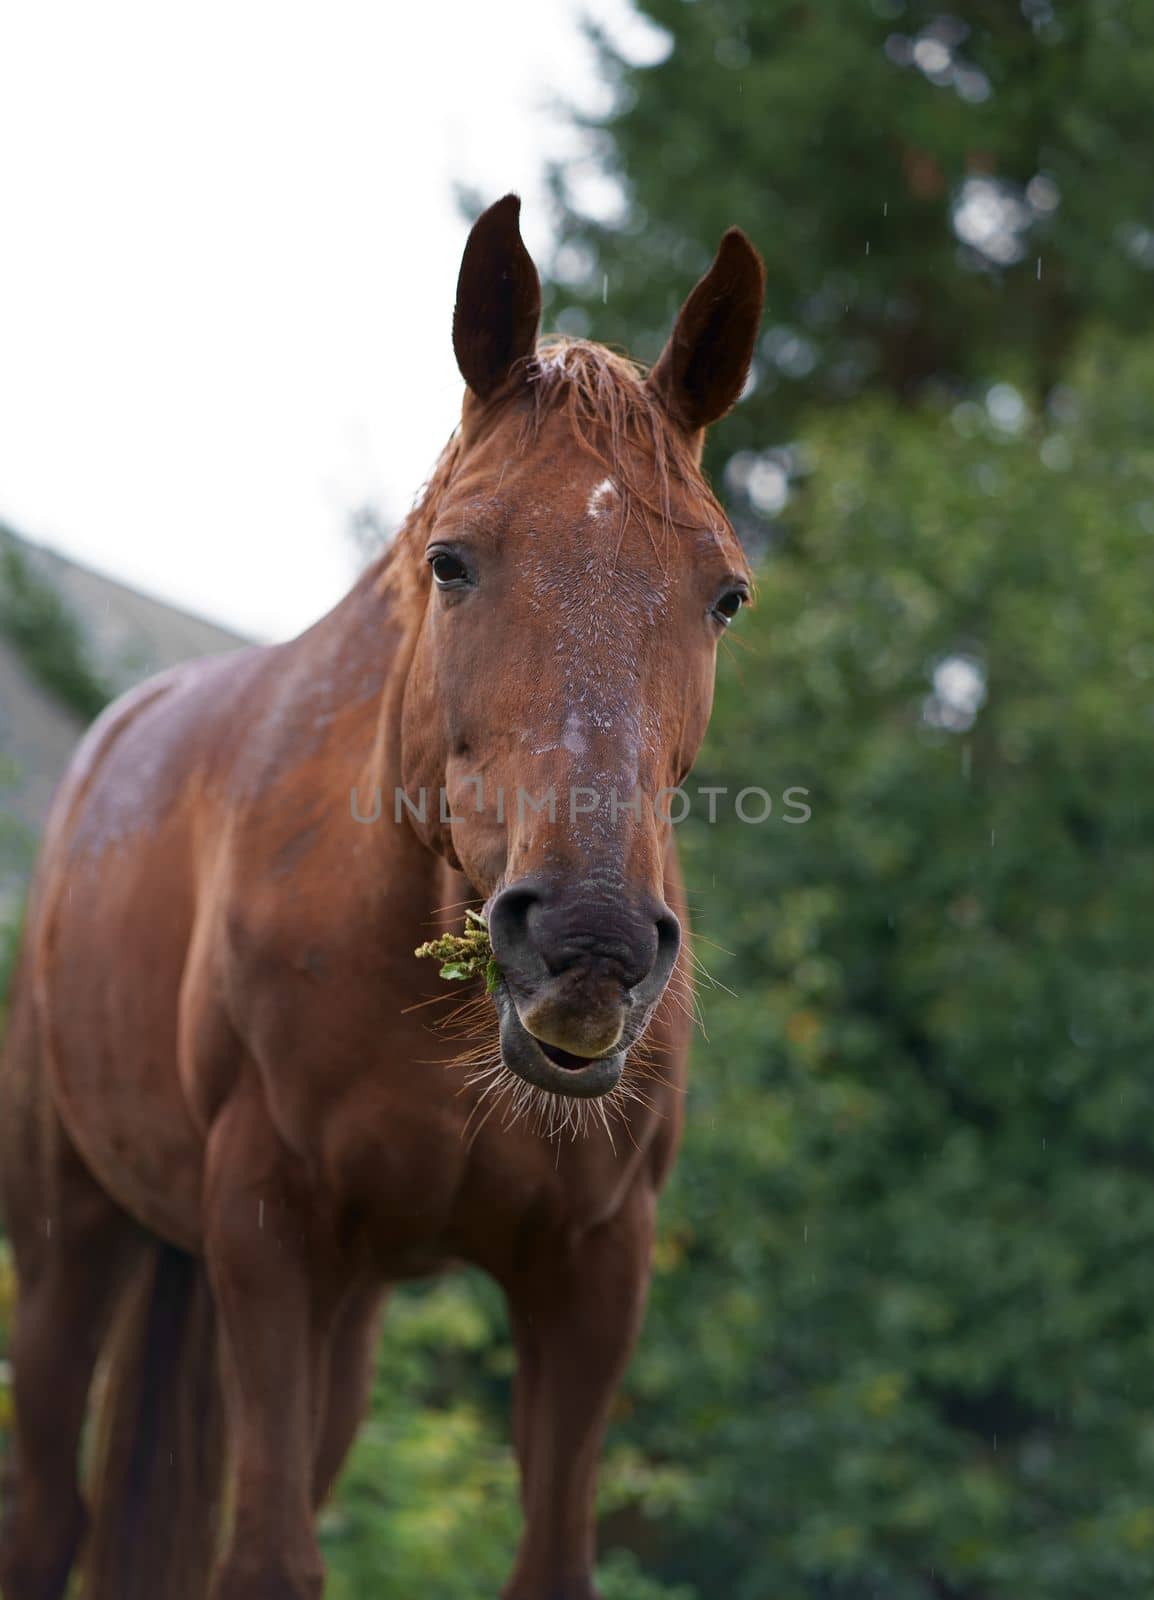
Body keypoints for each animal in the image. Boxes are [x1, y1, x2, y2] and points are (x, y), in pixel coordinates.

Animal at [0, 193, 761, 1593]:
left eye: (724, 595)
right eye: (452, 561)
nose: (586, 945)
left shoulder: (591, 1273)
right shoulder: (264, 1232)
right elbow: (266, 1560)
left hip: (342, 1314)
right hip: (72, 1234)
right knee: (47, 1515)